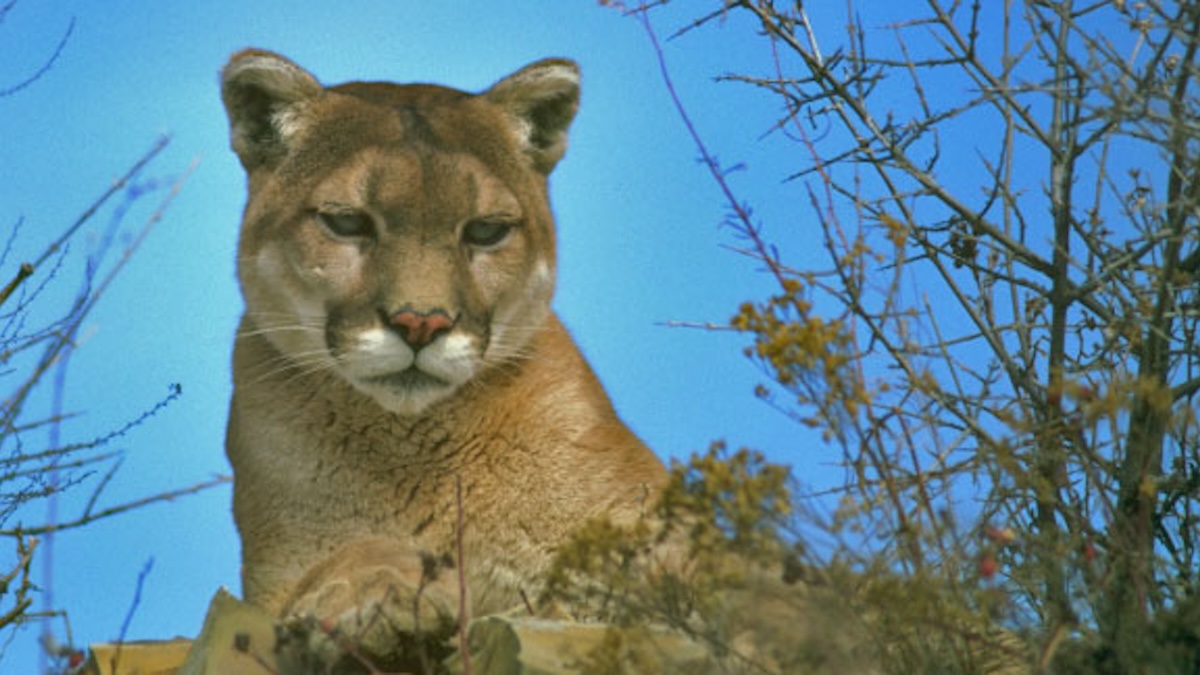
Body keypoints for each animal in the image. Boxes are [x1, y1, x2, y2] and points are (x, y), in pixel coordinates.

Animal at [216, 49, 667, 662]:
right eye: (346, 221)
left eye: (486, 231)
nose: (421, 322)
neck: (418, 454)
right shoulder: (273, 577)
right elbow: (353, 554)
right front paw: (379, 595)